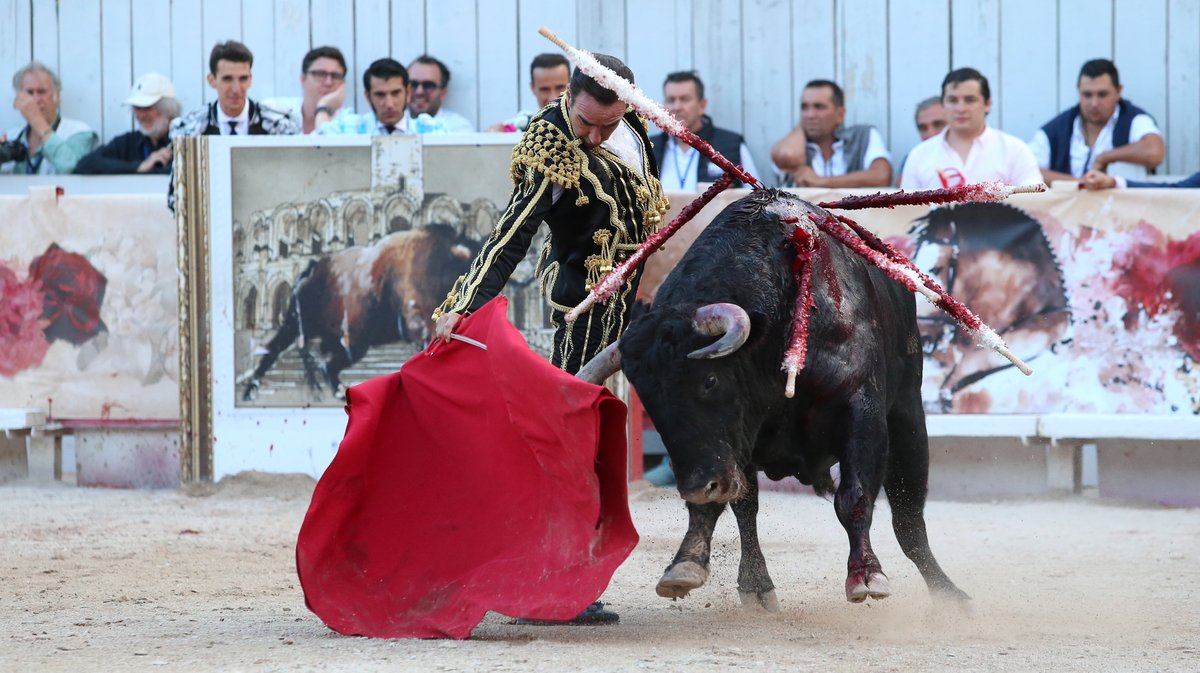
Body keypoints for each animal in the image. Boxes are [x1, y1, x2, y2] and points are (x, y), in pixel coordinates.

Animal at [576, 187, 969, 609]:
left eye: (710, 380)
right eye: (649, 398)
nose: (695, 486)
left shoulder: (861, 411)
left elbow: (855, 496)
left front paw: (866, 574)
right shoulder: (736, 442)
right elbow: (738, 504)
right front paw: (693, 566)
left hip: (908, 416)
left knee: (909, 519)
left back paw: (950, 595)